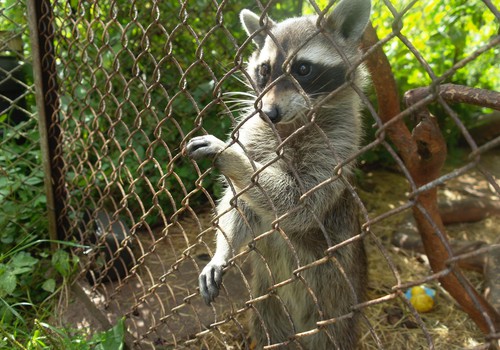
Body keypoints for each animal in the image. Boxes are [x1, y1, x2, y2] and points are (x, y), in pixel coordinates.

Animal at [186, 0, 370, 346]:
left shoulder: (339, 141)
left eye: (303, 69)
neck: (292, 124)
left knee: (332, 335)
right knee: (268, 325)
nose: (269, 113)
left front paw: (230, 155)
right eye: (265, 69)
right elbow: (239, 204)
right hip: (268, 297)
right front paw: (222, 250)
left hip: (336, 302)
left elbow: (300, 203)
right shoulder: (255, 128)